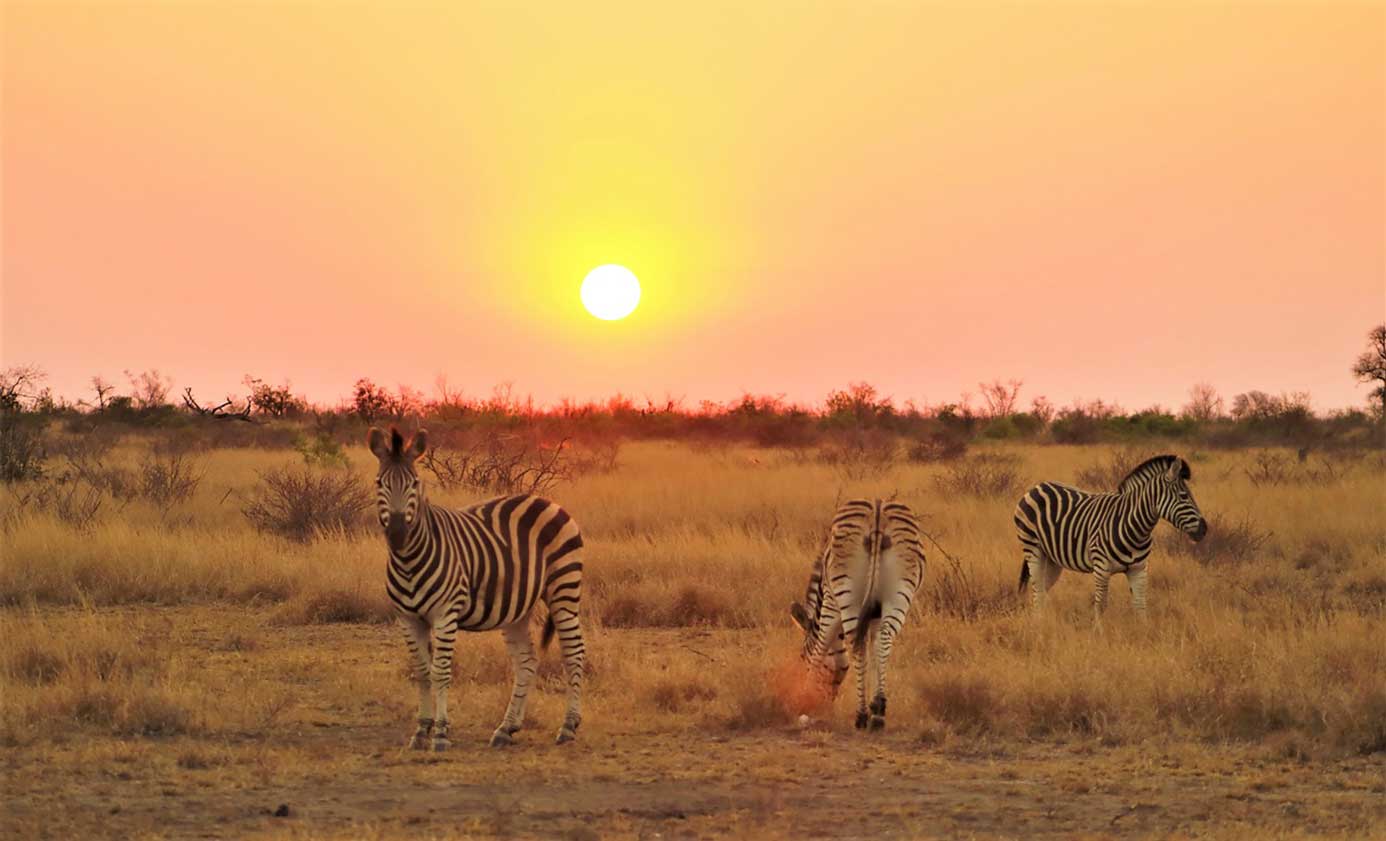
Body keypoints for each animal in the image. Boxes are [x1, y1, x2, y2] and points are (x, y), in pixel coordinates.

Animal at [368, 426, 584, 748]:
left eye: (414, 483)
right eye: (380, 483)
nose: (396, 533)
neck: (408, 560)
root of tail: (547, 501)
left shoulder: (445, 615)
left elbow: (441, 672)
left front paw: (441, 733)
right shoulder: (407, 619)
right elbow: (421, 672)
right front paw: (421, 730)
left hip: (564, 591)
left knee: (574, 654)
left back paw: (568, 727)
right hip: (517, 609)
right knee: (526, 662)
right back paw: (506, 728)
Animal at [787, 498, 925, 731]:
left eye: (802, 657)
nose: (825, 705)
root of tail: (878, 513)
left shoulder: (830, 603)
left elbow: (821, 647)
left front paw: (805, 703)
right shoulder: (875, 614)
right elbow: (875, 651)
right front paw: (874, 703)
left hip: (848, 592)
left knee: (856, 644)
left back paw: (861, 716)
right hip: (899, 592)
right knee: (884, 638)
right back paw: (879, 712)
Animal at [1014, 451, 1208, 620]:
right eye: (1184, 496)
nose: (1204, 529)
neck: (1136, 528)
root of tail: (1038, 486)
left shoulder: (1139, 569)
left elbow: (1140, 605)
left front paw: (1144, 632)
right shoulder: (1101, 567)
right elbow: (1101, 605)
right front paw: (1098, 634)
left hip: (1053, 558)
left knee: (1043, 589)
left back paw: (1045, 622)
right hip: (1033, 549)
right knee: (1037, 590)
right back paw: (1039, 624)